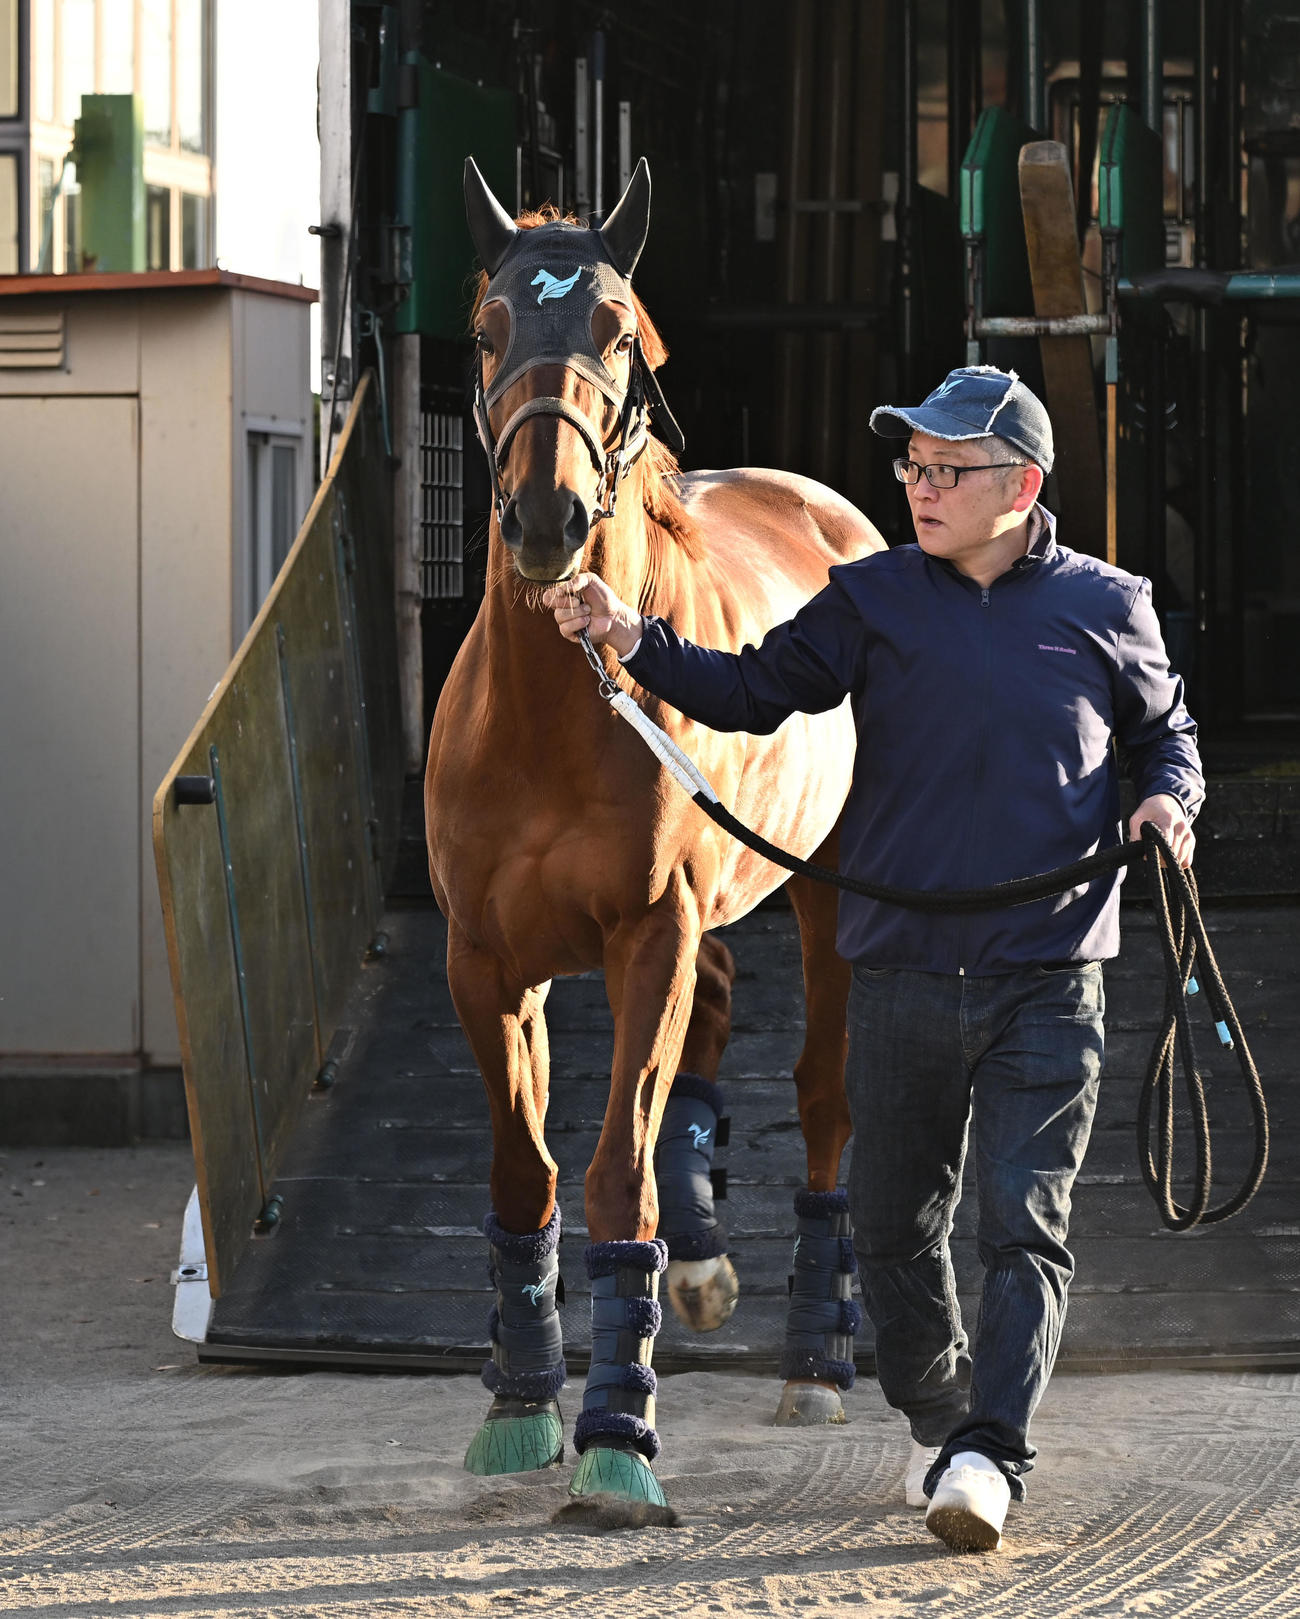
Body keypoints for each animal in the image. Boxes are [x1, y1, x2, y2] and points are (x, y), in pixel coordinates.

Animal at [424, 156, 885, 1521]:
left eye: (618, 329)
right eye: (488, 328)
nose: (546, 517)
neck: (553, 708)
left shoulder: (646, 932)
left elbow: (610, 1169)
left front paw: (616, 1435)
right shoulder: (486, 961)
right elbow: (523, 1172)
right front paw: (521, 1405)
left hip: (822, 903)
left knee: (823, 1096)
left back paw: (815, 1363)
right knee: (713, 1019)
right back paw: (703, 1264)